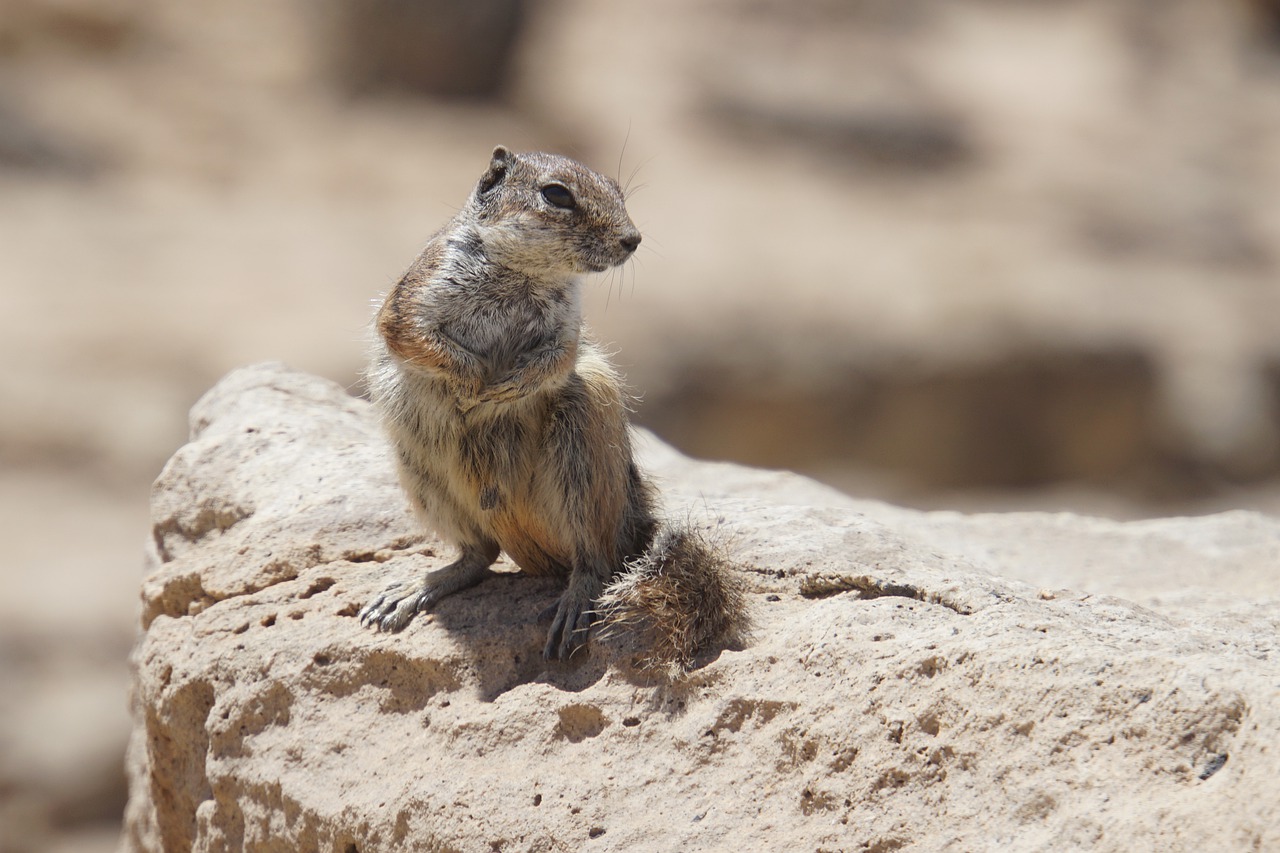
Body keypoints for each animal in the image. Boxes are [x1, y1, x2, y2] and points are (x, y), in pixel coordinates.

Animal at [355, 144, 747, 666]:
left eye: (617, 189)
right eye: (556, 194)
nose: (633, 239)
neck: (525, 272)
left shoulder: (568, 328)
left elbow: (556, 361)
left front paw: (497, 393)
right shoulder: (416, 295)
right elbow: (414, 337)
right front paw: (473, 383)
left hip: (585, 446)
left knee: (597, 558)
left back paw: (575, 603)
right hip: (421, 474)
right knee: (479, 556)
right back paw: (415, 588)